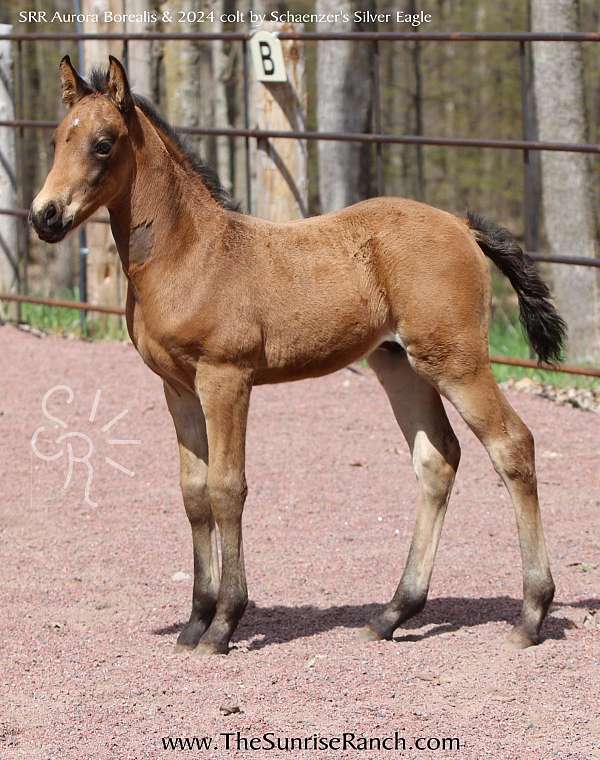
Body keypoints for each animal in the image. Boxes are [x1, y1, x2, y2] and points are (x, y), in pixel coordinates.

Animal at [30, 58, 564, 652]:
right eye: (57, 138)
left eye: (103, 144)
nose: (44, 216)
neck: (190, 253)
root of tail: (461, 226)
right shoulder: (177, 388)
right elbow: (193, 494)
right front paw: (194, 621)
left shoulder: (226, 379)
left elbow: (226, 488)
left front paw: (224, 623)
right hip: (399, 364)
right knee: (437, 459)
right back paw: (392, 613)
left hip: (456, 361)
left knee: (512, 445)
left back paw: (531, 615)